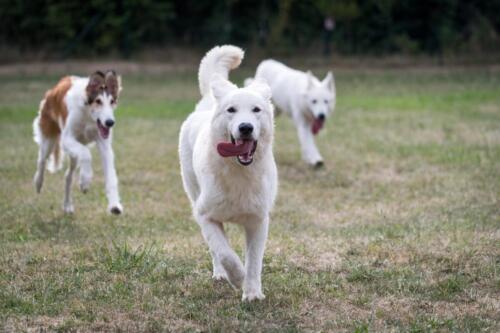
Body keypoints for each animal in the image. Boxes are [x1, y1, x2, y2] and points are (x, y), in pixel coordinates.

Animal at [33, 70, 123, 214]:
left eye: (112, 101)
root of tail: (54, 88)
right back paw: (38, 183)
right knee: (41, 160)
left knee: (68, 176)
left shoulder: (105, 146)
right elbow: (86, 154)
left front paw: (114, 205)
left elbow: (111, 177)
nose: (110, 123)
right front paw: (85, 181)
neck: (88, 116)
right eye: (98, 101)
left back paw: (67, 205)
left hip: (74, 153)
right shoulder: (66, 139)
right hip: (49, 138)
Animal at [178, 44, 278, 300]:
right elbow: (225, 253)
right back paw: (221, 274)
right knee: (216, 251)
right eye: (231, 110)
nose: (246, 127)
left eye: (256, 110)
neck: (238, 172)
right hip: (193, 192)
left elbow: (254, 261)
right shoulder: (204, 215)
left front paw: (252, 293)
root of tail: (208, 103)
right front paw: (238, 278)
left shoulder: (258, 221)